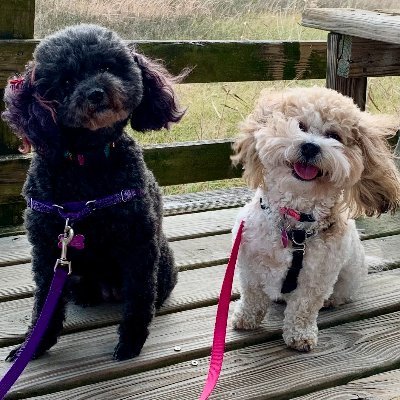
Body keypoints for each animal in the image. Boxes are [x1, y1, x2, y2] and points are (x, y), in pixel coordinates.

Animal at [2, 25, 184, 362]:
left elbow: (139, 298)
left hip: (160, 262)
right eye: (65, 82)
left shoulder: (139, 244)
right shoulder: (47, 249)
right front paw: (32, 345)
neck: (87, 161)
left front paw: (130, 342)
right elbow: (44, 304)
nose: (96, 93)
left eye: (108, 68)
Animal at [231, 88, 400, 354]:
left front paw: (300, 336)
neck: (294, 226)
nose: (310, 147)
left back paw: (332, 300)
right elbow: (252, 296)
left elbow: (304, 308)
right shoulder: (250, 265)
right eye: (300, 125)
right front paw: (246, 319)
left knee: (340, 294)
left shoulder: (316, 278)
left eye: (334, 136)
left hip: (348, 276)